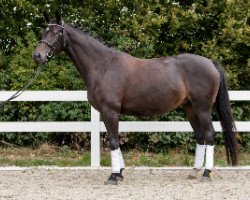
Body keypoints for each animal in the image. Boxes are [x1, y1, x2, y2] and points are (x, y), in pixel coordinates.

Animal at [33, 11, 238, 184]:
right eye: (44, 31)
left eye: (56, 32)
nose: (37, 56)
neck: (103, 65)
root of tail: (210, 63)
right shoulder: (107, 113)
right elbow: (114, 140)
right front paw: (120, 173)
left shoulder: (110, 111)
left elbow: (113, 141)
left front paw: (113, 176)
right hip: (190, 109)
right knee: (200, 136)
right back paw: (194, 171)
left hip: (202, 108)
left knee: (209, 134)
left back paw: (206, 174)